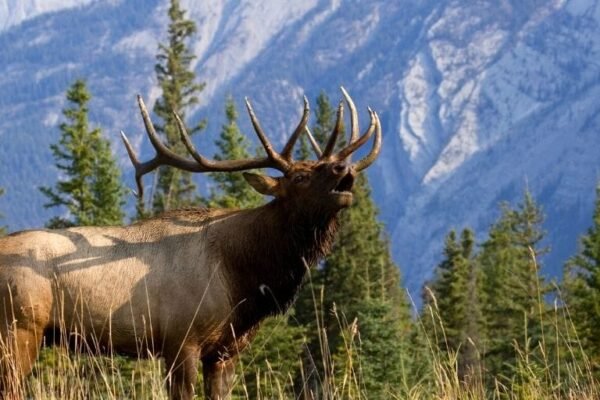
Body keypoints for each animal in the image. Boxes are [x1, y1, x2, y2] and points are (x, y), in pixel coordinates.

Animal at [0, 88, 381, 400]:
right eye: (300, 177)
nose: (343, 168)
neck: (243, 279)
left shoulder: (225, 350)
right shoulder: (181, 340)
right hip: (20, 327)